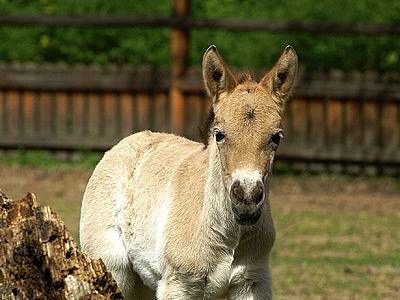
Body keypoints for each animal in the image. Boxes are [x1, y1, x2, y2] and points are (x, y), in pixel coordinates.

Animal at [79, 45, 296, 298]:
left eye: (276, 137)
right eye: (219, 134)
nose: (247, 199)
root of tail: (127, 142)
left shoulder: (252, 282)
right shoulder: (179, 285)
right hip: (113, 267)